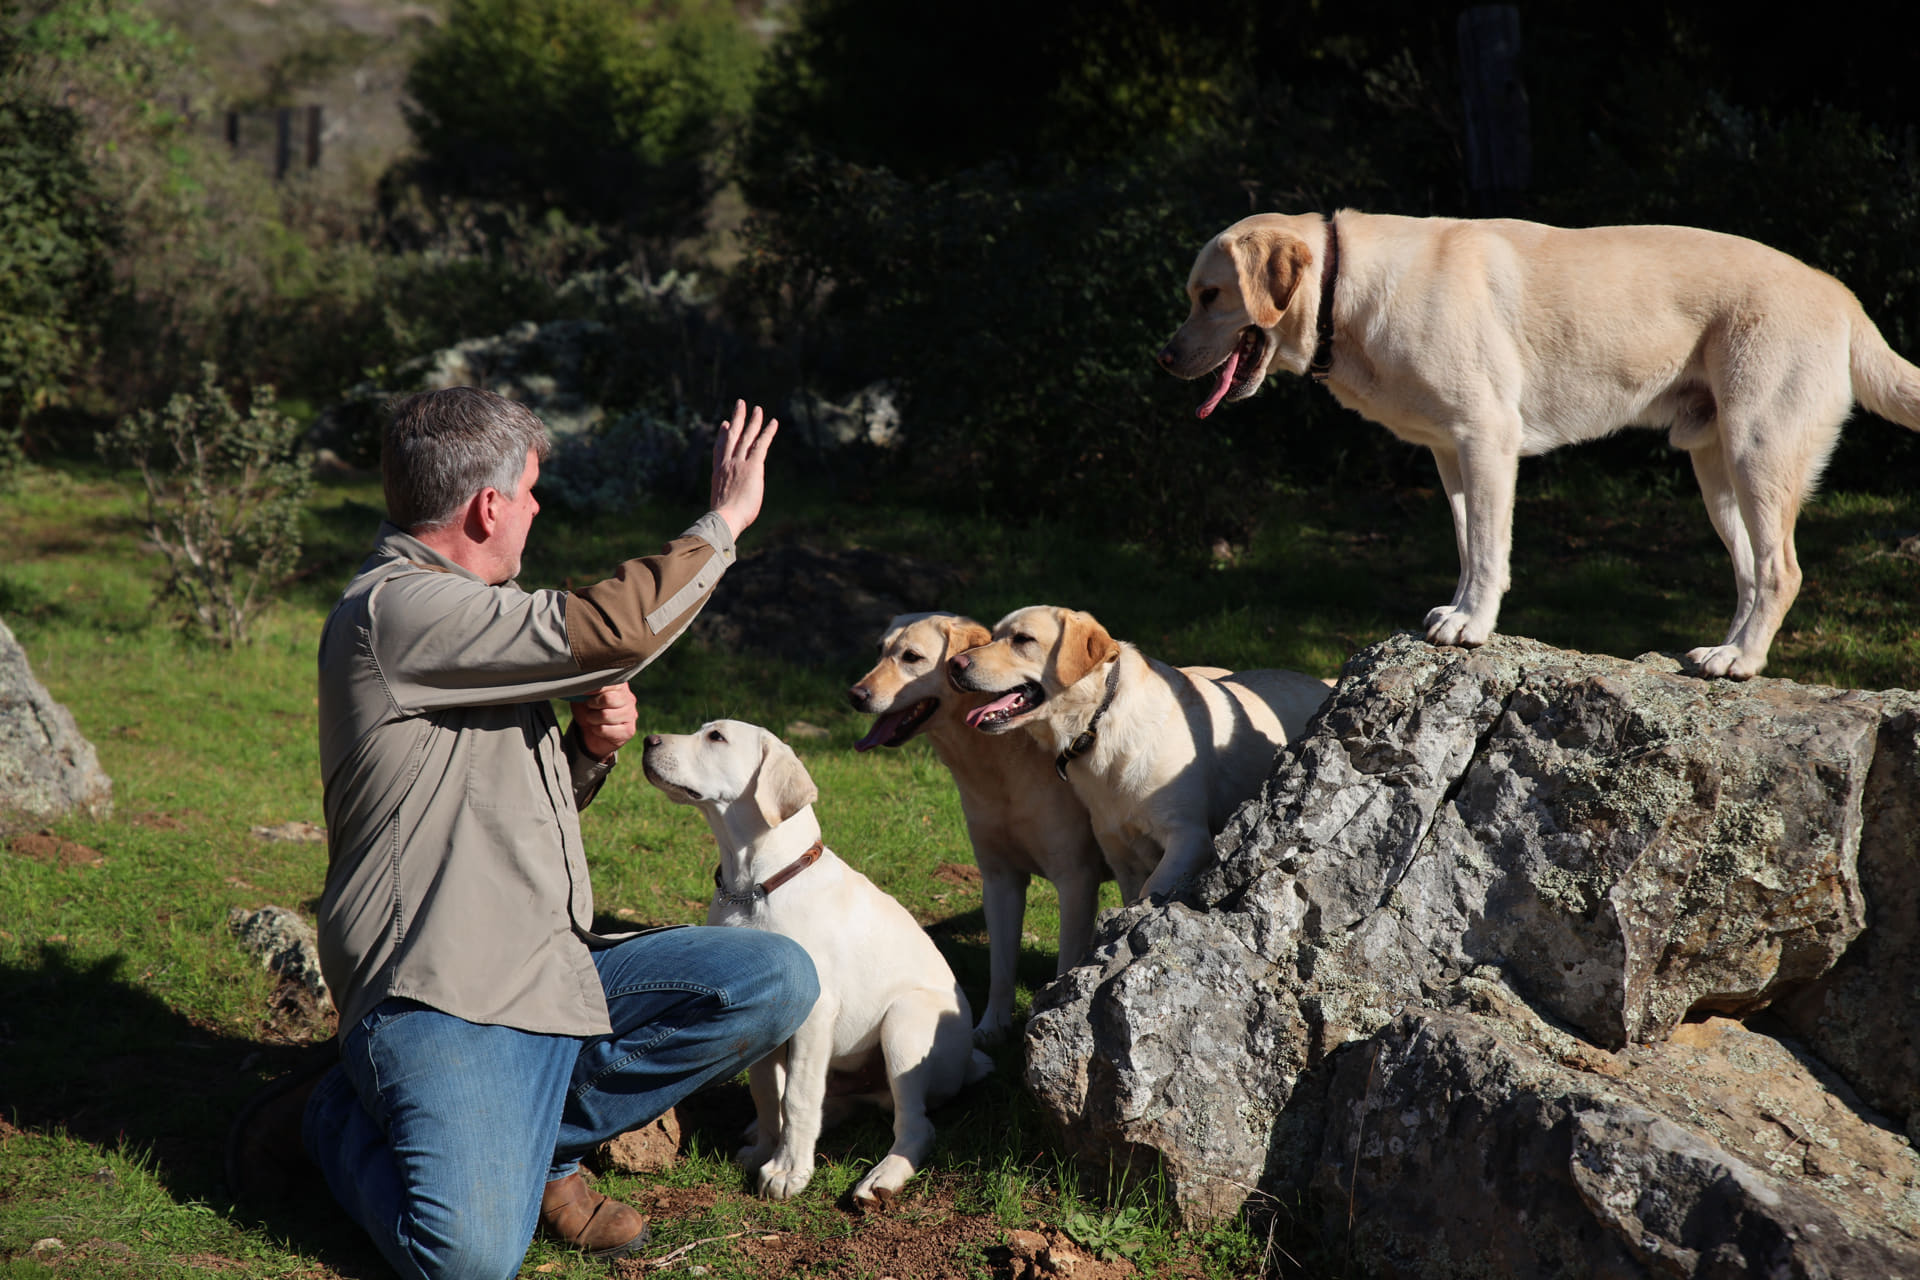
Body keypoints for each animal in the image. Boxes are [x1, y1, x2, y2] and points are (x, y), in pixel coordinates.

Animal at [641, 720, 990, 1204]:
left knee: (914, 1126)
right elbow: (768, 1092)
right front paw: (766, 1149)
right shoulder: (766, 1009)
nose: (646, 740)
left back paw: (880, 1178)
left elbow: (797, 1097)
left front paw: (788, 1172)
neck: (755, 887)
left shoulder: (814, 1012)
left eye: (716, 737)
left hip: (906, 1023)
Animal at [849, 612, 1109, 1046]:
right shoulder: (999, 879)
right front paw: (991, 1027)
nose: (855, 695)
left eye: (911, 657)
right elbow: (1000, 969)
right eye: (880, 651)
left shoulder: (1076, 881)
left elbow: (1065, 966)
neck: (997, 763)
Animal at [947, 606, 1332, 901]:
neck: (1099, 722)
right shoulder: (1121, 854)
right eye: (993, 635)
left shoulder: (1189, 839)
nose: (954, 664)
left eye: (1022, 640)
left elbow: (1150, 891)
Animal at [1157, 211, 1920, 679]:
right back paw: (1727, 654)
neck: (1346, 289)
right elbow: (1468, 543)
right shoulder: (1450, 453)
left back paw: (1741, 662)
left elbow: (1490, 549)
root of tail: (1841, 295)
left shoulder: (1487, 437)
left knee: (1781, 571)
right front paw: (1459, 613)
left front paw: (1472, 623)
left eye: (1208, 295)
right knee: (1750, 574)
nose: (1162, 357)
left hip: (1758, 451)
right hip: (1717, 473)